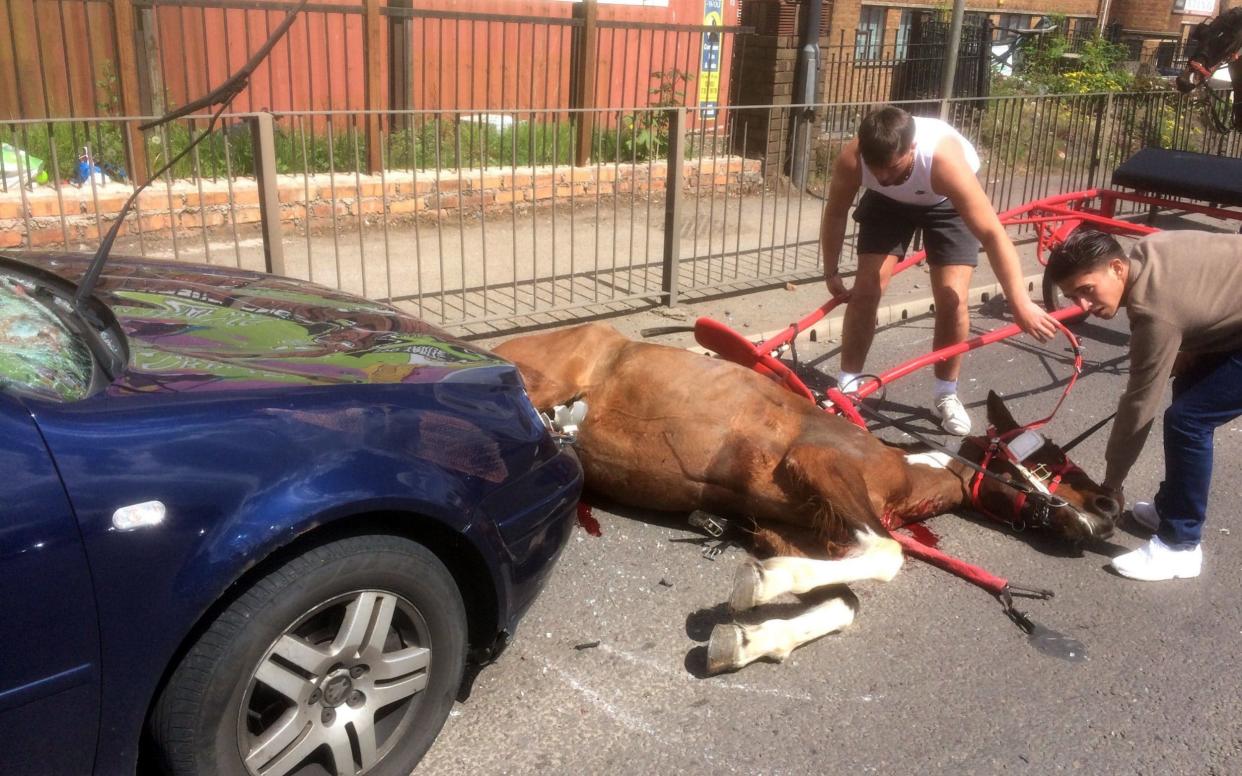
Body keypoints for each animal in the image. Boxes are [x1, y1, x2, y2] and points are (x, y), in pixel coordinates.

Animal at [491, 320, 1117, 670]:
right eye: (1052, 461)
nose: (1109, 514)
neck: (896, 469)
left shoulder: (796, 529)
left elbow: (846, 600)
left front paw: (748, 640)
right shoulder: (820, 463)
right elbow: (888, 555)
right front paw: (757, 586)